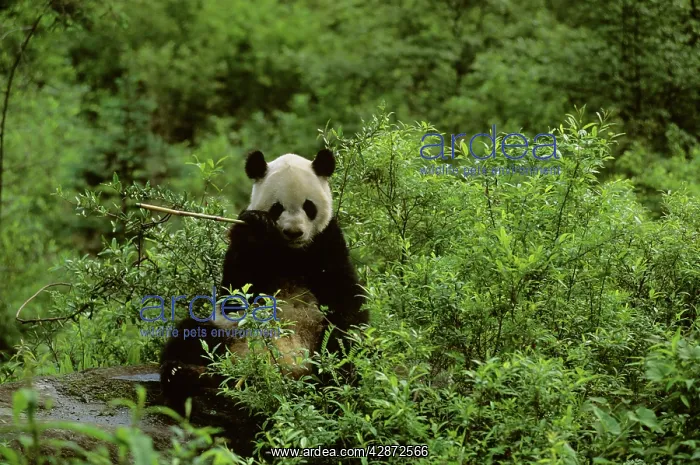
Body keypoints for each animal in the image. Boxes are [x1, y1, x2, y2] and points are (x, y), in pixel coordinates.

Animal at [159, 149, 368, 450]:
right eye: (277, 208)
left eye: (309, 206)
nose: (294, 232)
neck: (291, 252)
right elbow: (234, 293)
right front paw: (257, 228)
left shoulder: (327, 242)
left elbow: (345, 299)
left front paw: (342, 366)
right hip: (229, 336)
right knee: (193, 334)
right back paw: (183, 372)